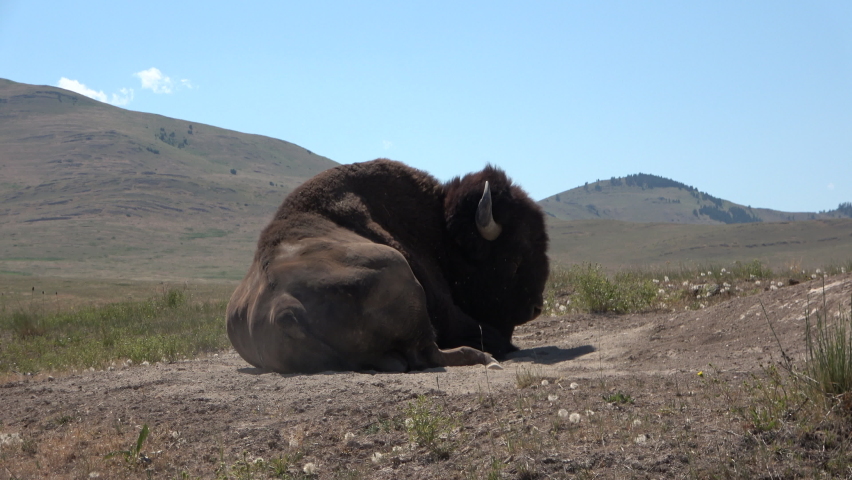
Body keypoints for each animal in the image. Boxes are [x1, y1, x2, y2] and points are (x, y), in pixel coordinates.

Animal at [226, 159, 549, 373]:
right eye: (516, 257)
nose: (535, 307)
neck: (440, 231)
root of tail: (286, 311)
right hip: (399, 270)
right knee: (429, 354)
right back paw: (485, 358)